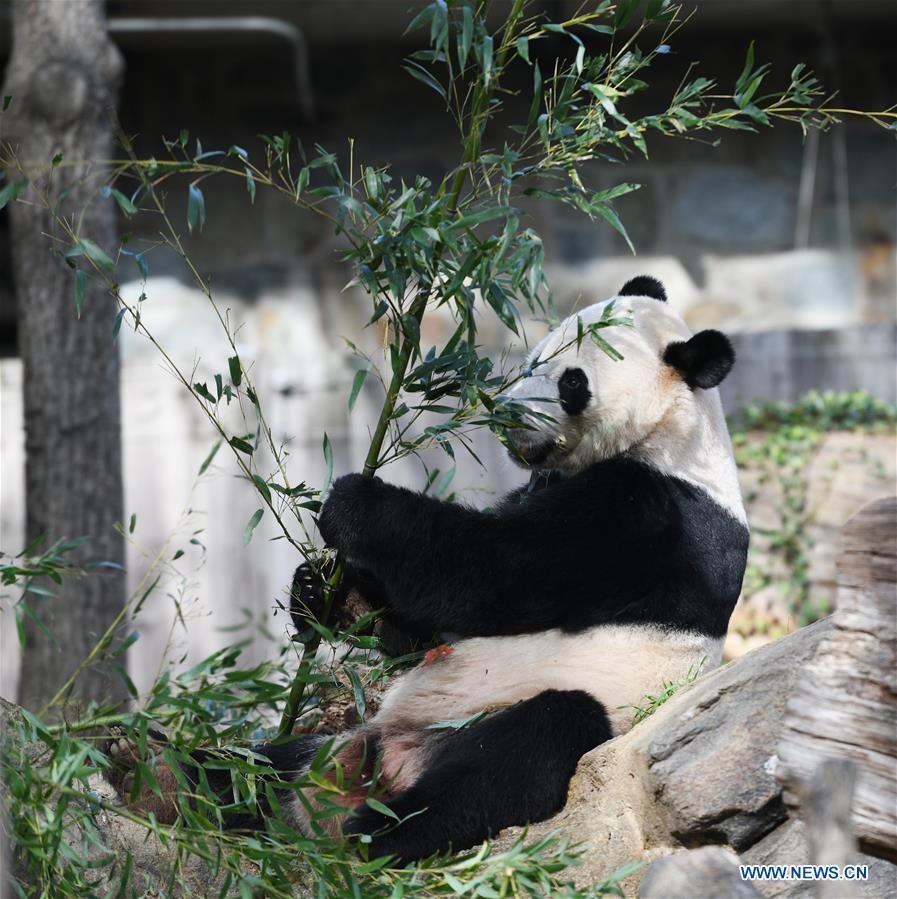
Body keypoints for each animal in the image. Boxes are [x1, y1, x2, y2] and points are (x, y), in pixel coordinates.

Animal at [107, 274, 748, 864]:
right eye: (535, 359)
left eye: (573, 383)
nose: (507, 413)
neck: (674, 433)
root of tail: (374, 773)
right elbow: (421, 632)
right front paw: (321, 591)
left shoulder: (652, 521)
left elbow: (489, 571)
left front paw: (353, 504)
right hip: (329, 744)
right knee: (251, 770)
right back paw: (153, 773)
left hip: (532, 718)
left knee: (521, 750)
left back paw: (376, 832)